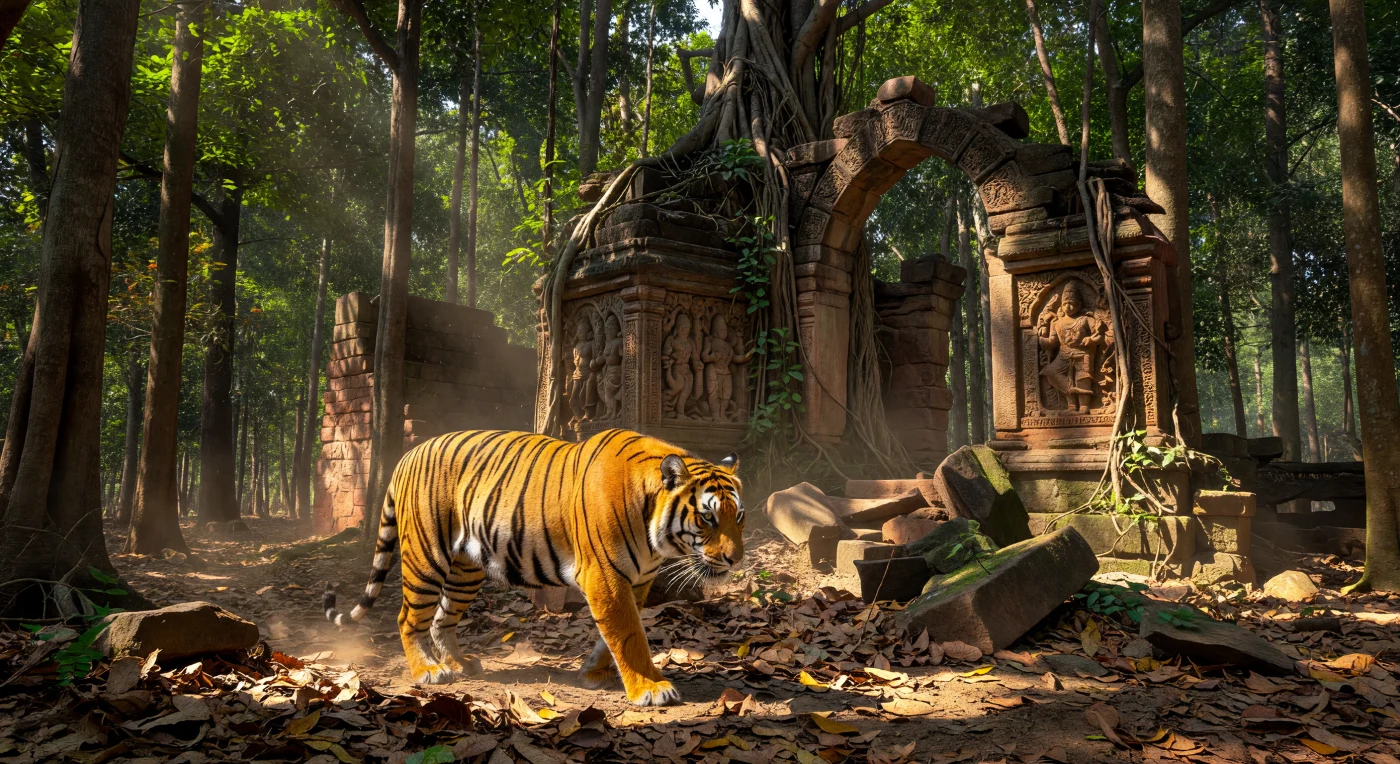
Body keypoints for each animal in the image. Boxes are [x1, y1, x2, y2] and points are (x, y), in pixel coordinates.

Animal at [322, 428, 745, 707]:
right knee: (409, 618)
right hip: (426, 557)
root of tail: (407, 455)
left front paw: (595, 673)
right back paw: (428, 670)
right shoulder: (606, 578)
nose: (735, 559)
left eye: (737, 516)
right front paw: (649, 688)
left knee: (442, 618)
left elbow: (616, 633)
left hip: (465, 570)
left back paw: (460, 663)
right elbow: (629, 635)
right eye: (708, 518)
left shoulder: (636, 580)